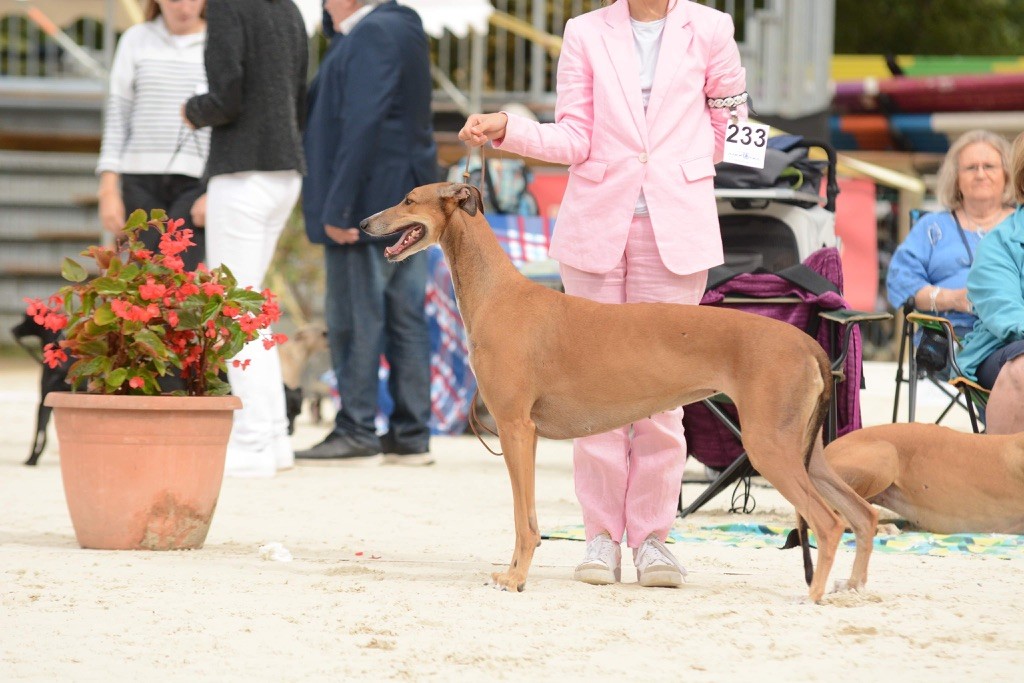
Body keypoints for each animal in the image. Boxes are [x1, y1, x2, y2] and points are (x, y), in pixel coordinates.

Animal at [360, 183, 872, 602]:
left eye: (408, 199)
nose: (364, 223)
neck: (499, 293)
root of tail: (807, 343)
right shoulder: (523, 432)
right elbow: (526, 517)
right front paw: (513, 573)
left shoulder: (514, 428)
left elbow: (524, 519)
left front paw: (516, 578)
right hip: (807, 452)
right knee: (863, 515)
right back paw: (852, 588)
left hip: (769, 447)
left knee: (830, 522)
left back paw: (815, 595)